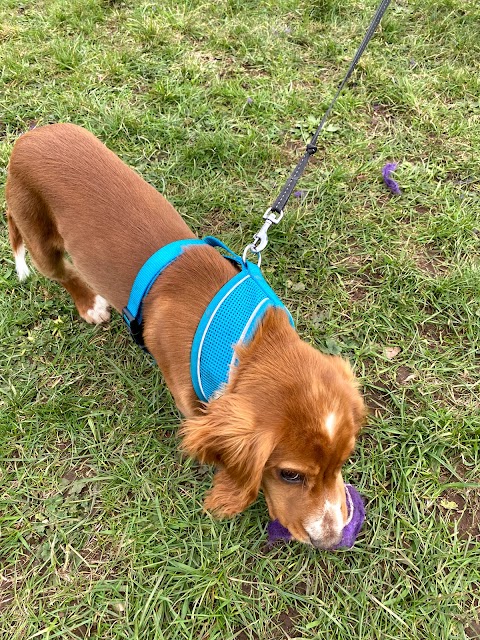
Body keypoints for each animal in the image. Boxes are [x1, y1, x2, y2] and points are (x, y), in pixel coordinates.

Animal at [6, 124, 364, 544]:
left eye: (343, 460)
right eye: (290, 474)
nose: (333, 539)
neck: (246, 340)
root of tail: (30, 136)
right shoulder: (189, 399)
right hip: (39, 238)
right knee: (62, 272)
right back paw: (89, 304)